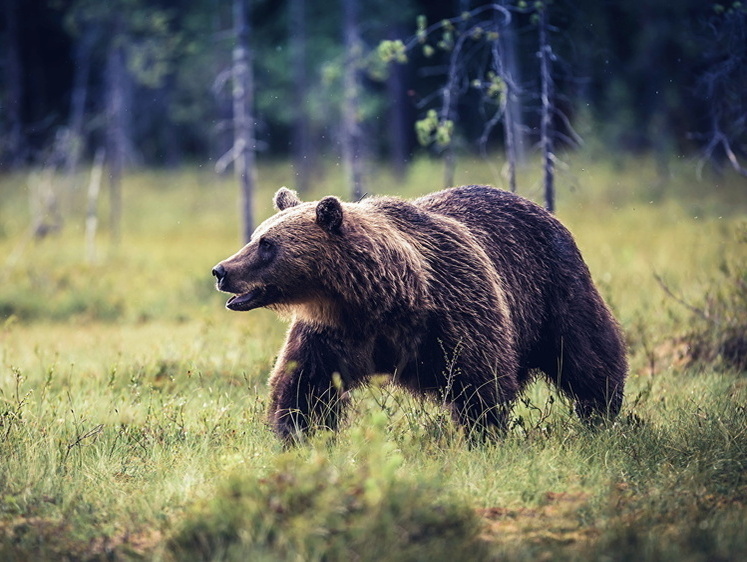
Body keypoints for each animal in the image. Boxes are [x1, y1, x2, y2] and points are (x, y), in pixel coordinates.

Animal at [213, 186, 628, 440]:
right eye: (256, 236)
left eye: (267, 244)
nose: (221, 270)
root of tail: (543, 210)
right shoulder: (332, 332)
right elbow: (304, 384)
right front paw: (297, 433)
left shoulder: (455, 307)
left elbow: (481, 380)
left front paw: (483, 434)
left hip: (555, 288)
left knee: (587, 353)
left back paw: (602, 411)